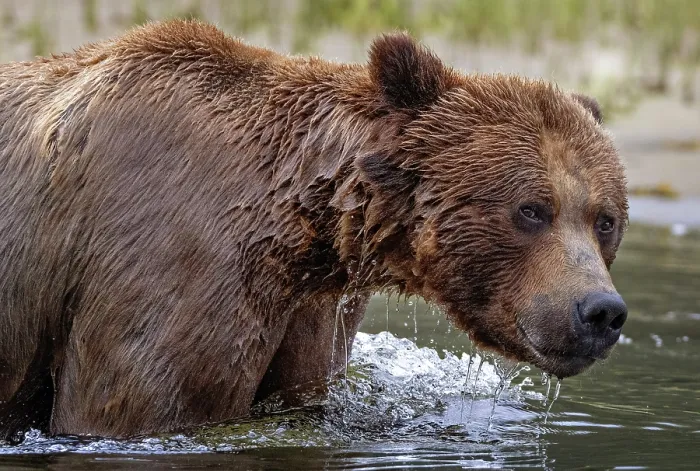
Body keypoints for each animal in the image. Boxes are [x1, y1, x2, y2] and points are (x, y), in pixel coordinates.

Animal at [0, 20, 628, 441]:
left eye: (604, 220)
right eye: (532, 209)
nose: (600, 311)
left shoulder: (309, 311)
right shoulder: (171, 263)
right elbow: (133, 405)